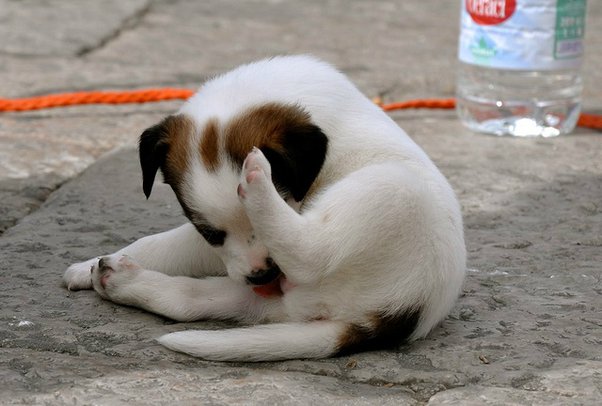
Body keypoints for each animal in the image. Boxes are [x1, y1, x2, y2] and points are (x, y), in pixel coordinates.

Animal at [63, 54, 464, 362]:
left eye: (288, 198)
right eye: (212, 233)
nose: (263, 275)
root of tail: (404, 312)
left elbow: (162, 244)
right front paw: (87, 267)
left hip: (390, 191)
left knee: (312, 251)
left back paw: (257, 180)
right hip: (268, 305)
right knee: (189, 301)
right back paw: (118, 279)